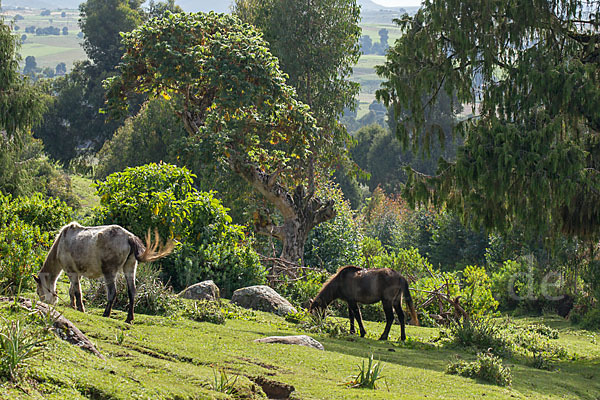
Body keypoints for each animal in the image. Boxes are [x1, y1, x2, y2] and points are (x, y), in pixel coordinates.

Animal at [35, 223, 172, 324]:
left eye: (38, 291)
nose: (44, 303)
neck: (60, 244)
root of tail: (129, 237)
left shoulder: (71, 272)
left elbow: (77, 292)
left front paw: (80, 309)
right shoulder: (77, 273)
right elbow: (72, 290)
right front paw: (73, 306)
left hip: (109, 271)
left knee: (112, 292)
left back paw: (106, 313)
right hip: (130, 268)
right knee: (132, 291)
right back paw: (129, 318)